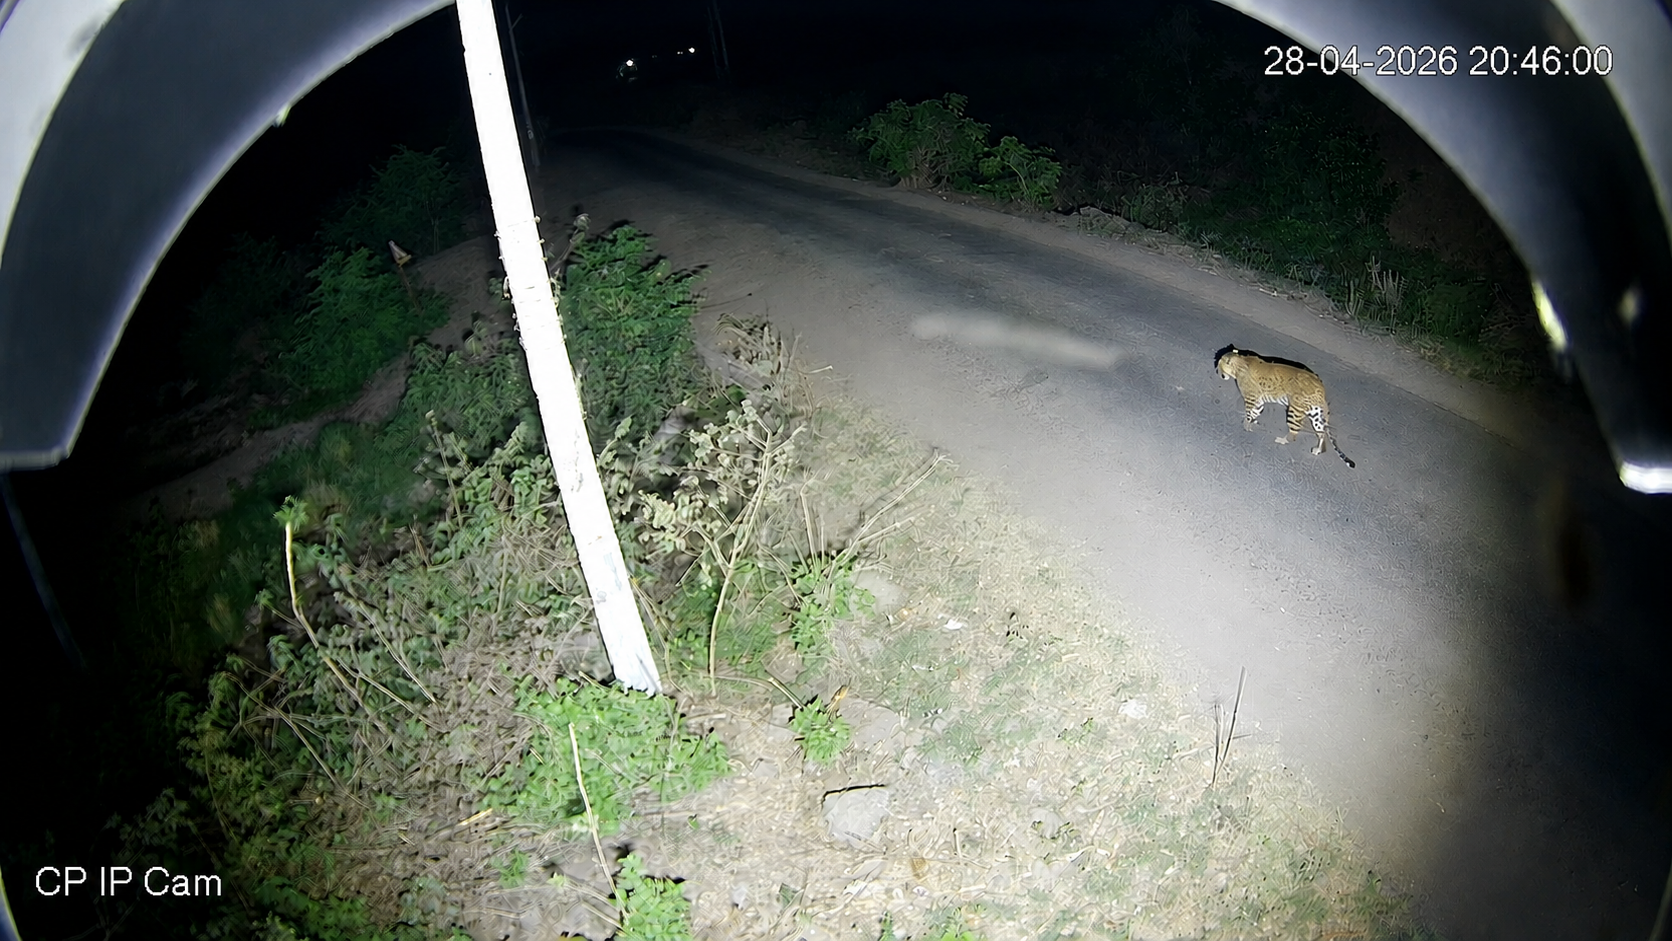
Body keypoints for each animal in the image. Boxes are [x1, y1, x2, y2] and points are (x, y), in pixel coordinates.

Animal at [1213, 344, 1355, 468]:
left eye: (1219, 365)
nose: (1216, 370)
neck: (1241, 361)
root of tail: (1321, 387)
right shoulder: (1259, 401)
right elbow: (1256, 412)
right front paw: (1252, 423)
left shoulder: (1251, 398)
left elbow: (1250, 413)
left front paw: (1246, 424)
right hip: (1316, 417)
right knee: (1322, 433)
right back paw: (1317, 450)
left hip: (1294, 411)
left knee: (1294, 434)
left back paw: (1282, 440)